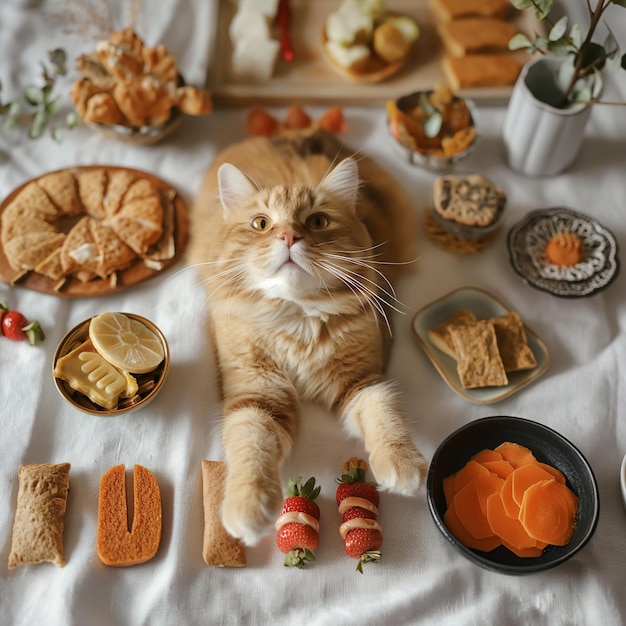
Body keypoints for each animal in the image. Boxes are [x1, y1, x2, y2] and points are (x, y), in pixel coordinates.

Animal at [189, 129, 424, 544]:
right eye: (261, 224)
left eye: (317, 221)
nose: (288, 236)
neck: (296, 319)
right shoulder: (257, 393)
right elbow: (251, 446)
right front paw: (248, 509)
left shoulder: (361, 379)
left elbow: (385, 415)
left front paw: (402, 464)